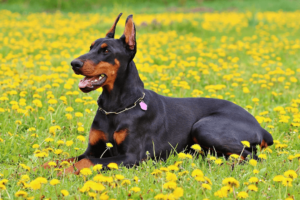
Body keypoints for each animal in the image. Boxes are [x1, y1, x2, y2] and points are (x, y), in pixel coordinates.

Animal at [53, 13, 272, 173]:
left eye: (106, 51)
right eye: (91, 47)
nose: (74, 63)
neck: (115, 106)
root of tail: (261, 128)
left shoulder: (131, 156)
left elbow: (85, 163)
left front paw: (60, 173)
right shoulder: (93, 149)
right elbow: (64, 159)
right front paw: (48, 168)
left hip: (204, 127)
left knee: (252, 157)